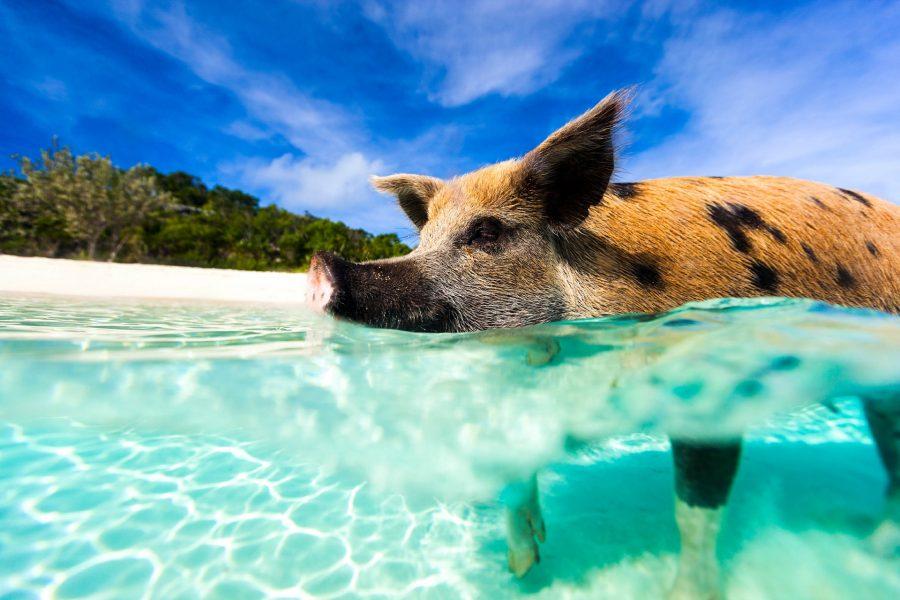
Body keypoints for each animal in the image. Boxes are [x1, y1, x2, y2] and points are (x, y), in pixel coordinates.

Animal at [307, 89, 900, 598]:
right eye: (422, 240)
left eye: (488, 232)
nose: (322, 265)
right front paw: (523, 568)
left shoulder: (711, 392)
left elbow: (695, 510)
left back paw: (867, 552)